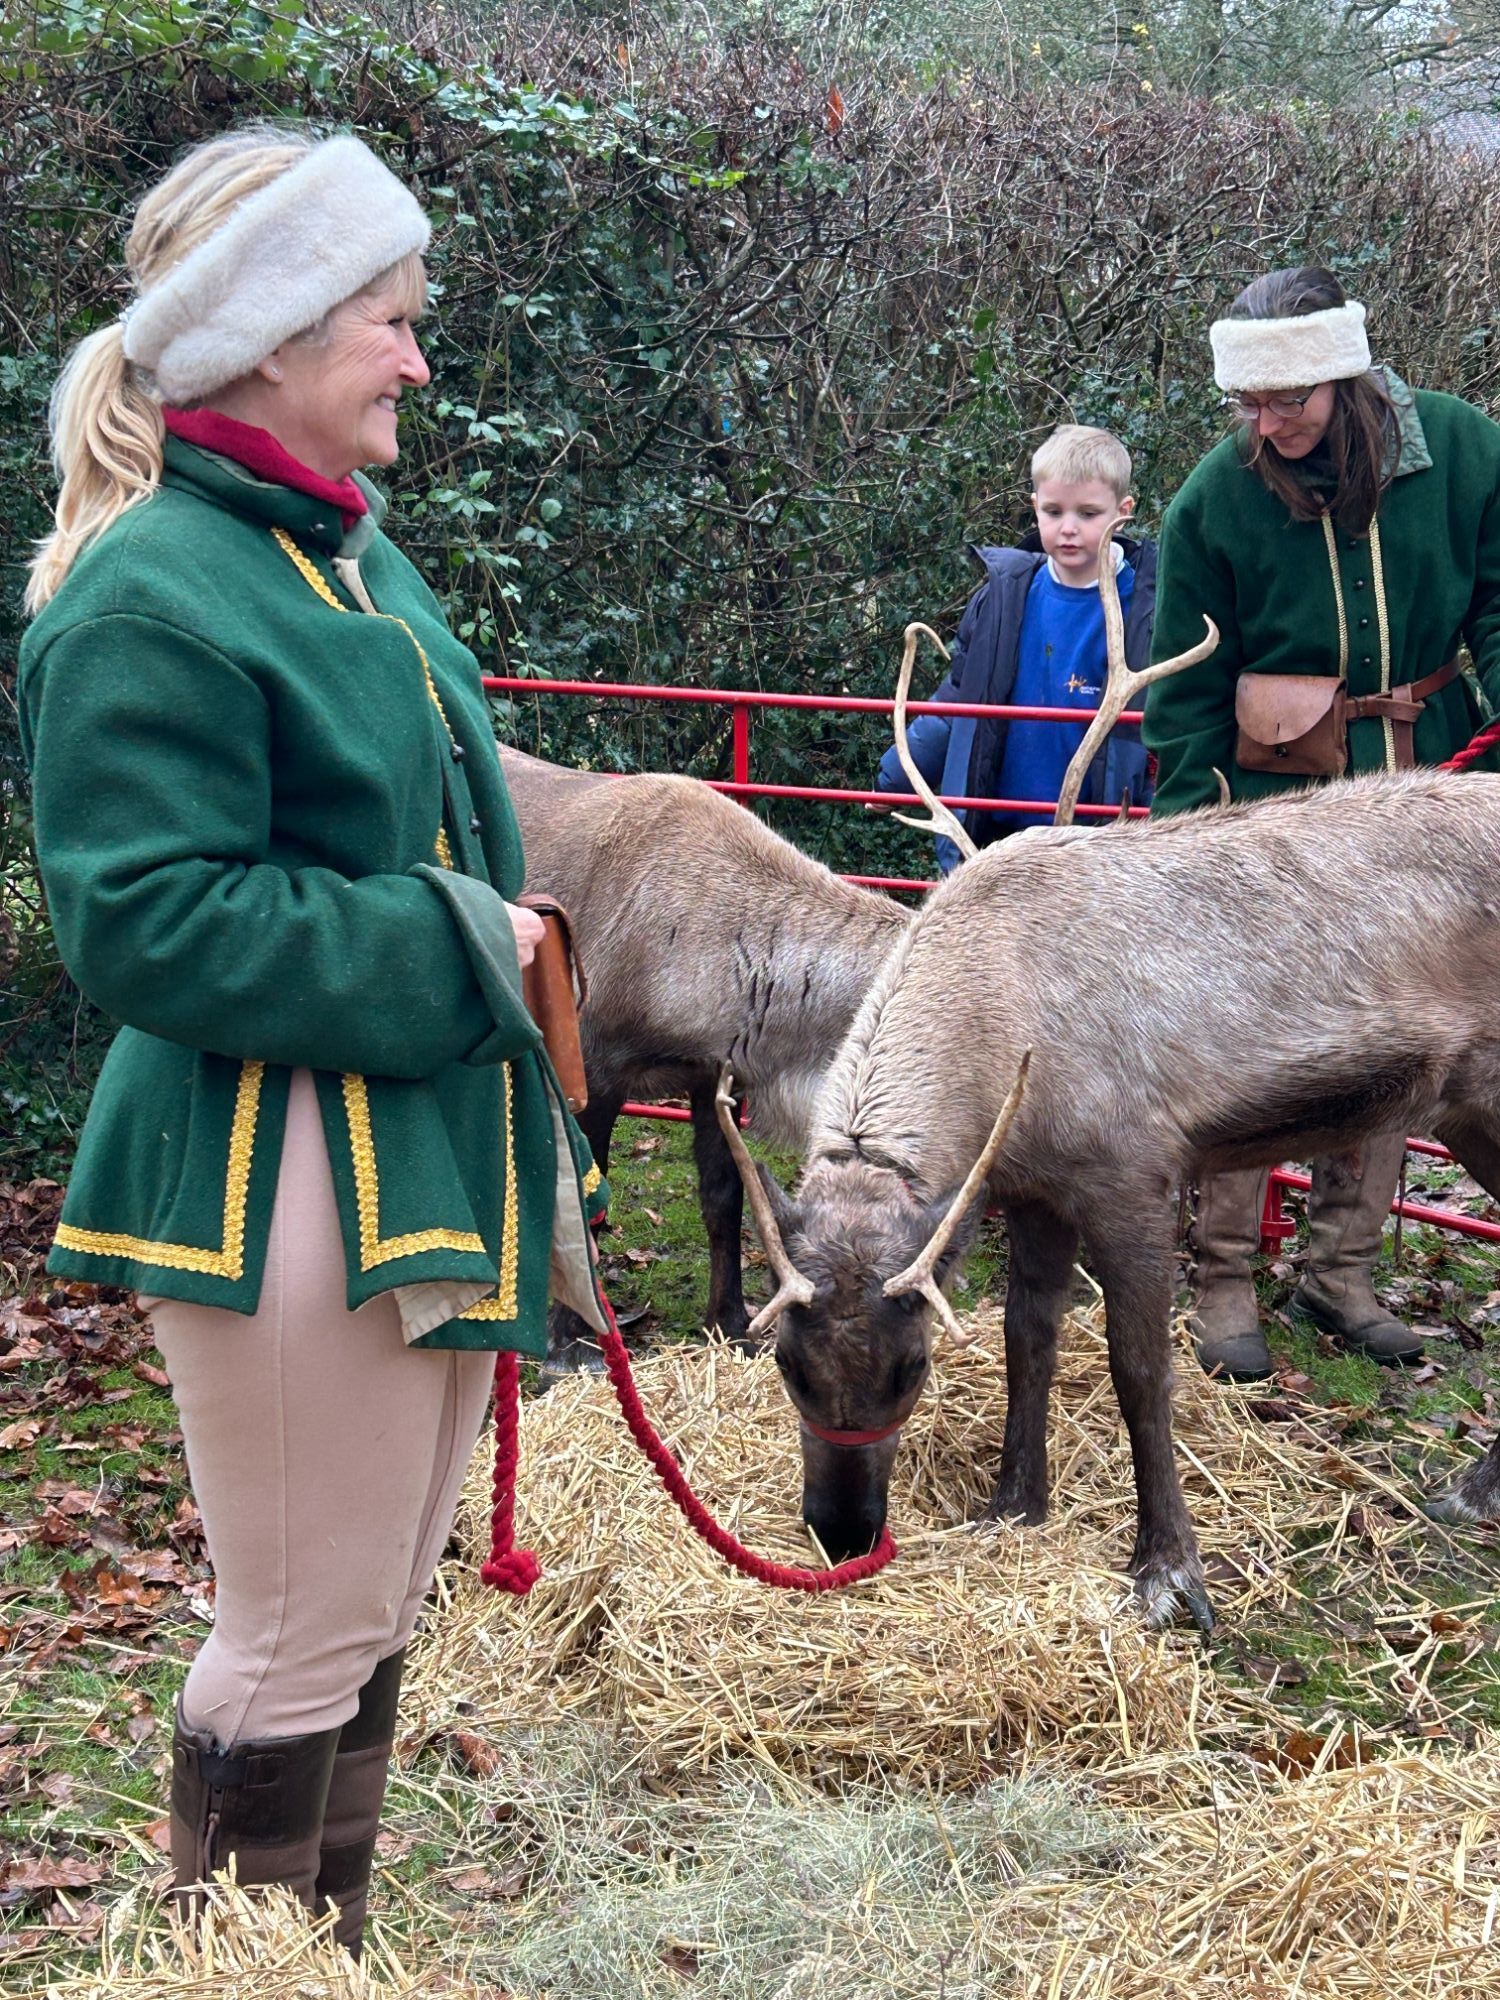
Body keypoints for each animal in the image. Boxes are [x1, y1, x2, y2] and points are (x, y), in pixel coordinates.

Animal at [499, 744, 912, 1372]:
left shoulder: (719, 1074)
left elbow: (724, 1200)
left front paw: (731, 1322)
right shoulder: (595, 1069)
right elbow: (588, 1206)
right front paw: (573, 1343)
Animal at [716, 557, 1500, 1631]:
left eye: (913, 1364)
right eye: (787, 1363)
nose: (841, 1532)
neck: (1003, 1027)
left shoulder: (1135, 1173)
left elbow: (1139, 1368)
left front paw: (1169, 1569)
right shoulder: (1033, 1187)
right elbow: (1028, 1336)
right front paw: (1015, 1504)